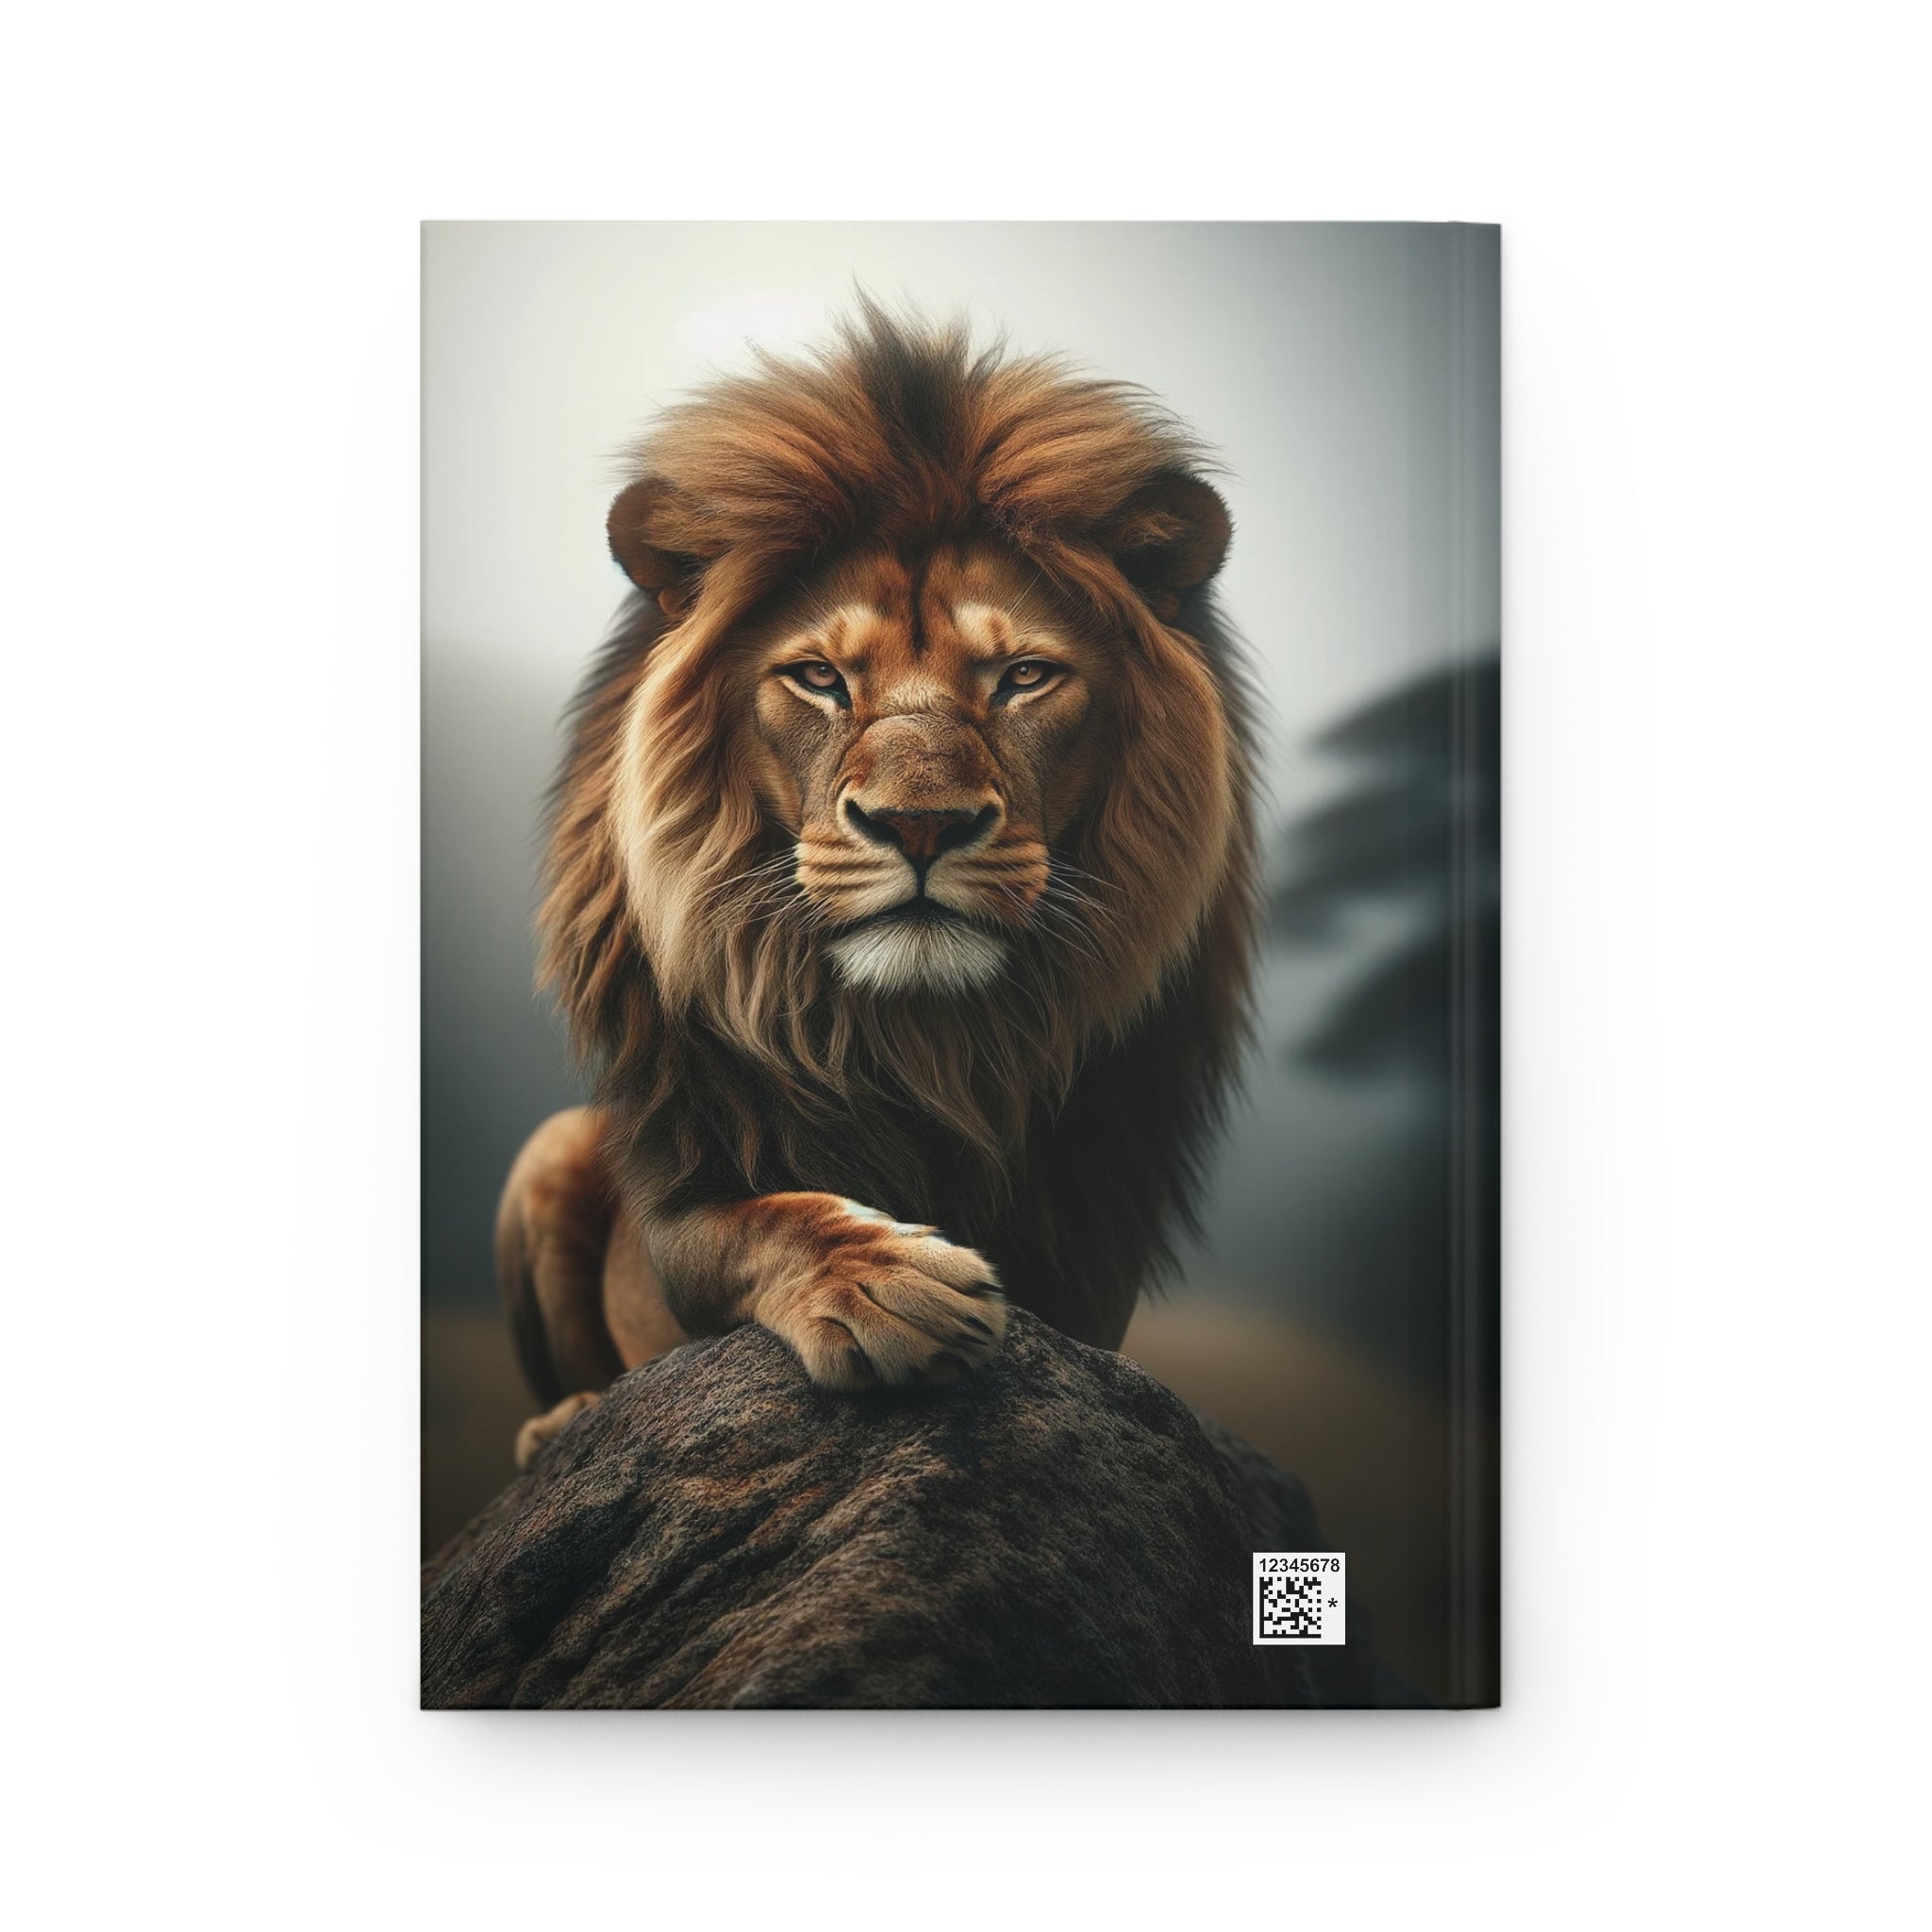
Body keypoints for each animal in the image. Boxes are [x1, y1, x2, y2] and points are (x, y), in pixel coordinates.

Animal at [498, 302, 1260, 1465]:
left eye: (1023, 676)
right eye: (819, 676)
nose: (920, 823)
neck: (922, 1040)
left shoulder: (1094, 1258)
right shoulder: (683, 1204)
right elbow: (765, 1220)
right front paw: (892, 1287)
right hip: (547, 1152)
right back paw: (561, 1422)